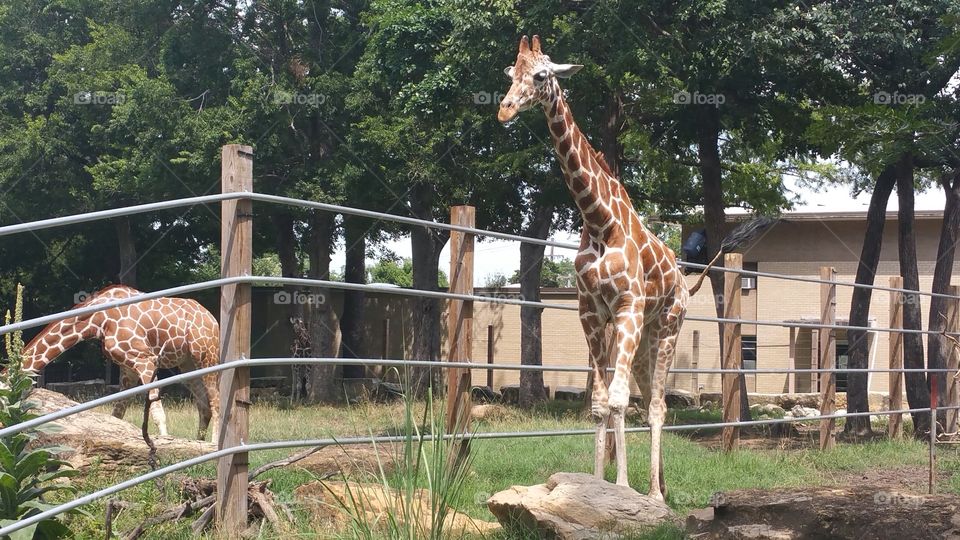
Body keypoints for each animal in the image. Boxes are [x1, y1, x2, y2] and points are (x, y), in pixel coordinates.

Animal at [21, 285, 221, 440]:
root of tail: (213, 320)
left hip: (207, 355)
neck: (98, 320)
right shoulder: (127, 369)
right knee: (203, 405)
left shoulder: (146, 359)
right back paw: (199, 442)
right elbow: (117, 415)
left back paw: (213, 444)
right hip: (187, 364)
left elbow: (157, 413)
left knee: (215, 400)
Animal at [498, 35, 691, 501]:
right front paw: (597, 487)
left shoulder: (627, 307)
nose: (505, 110)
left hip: (666, 327)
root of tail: (683, 279)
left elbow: (619, 400)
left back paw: (655, 495)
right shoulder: (591, 313)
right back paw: (657, 484)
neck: (599, 220)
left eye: (541, 75)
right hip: (642, 339)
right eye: (511, 73)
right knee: (646, 396)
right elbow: (601, 404)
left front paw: (621, 490)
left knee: (656, 405)